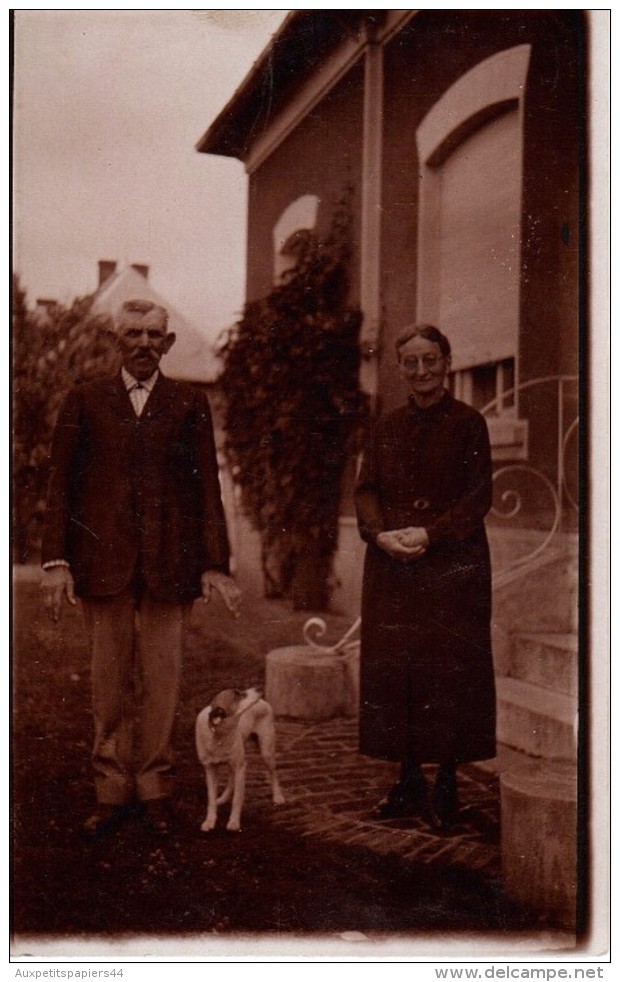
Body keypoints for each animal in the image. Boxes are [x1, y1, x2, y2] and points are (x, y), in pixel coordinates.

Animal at [195, 688, 286, 836]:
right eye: (237, 695)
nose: (258, 688)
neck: (219, 734)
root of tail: (263, 701)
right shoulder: (210, 769)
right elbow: (211, 799)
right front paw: (209, 821)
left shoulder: (240, 767)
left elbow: (237, 799)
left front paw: (233, 822)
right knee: (231, 779)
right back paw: (222, 798)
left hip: (266, 752)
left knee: (273, 774)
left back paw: (278, 796)